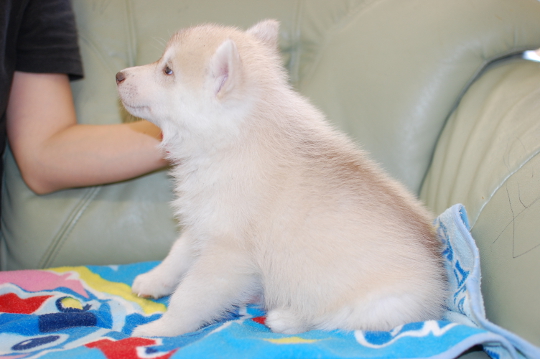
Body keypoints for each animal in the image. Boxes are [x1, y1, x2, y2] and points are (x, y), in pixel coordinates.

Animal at [116, 20, 446, 340]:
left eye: (167, 70)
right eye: (163, 63)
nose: (118, 75)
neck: (234, 138)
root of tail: (440, 285)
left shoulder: (227, 256)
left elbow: (189, 296)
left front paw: (159, 328)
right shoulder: (202, 224)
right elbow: (177, 255)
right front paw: (153, 280)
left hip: (379, 305)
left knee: (331, 319)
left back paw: (286, 318)